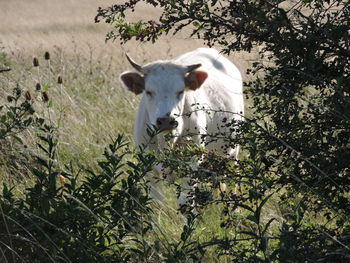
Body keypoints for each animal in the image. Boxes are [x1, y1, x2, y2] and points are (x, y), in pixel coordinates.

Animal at [119, 48, 243, 212]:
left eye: (180, 91)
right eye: (149, 92)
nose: (166, 121)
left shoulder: (192, 164)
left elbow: (185, 202)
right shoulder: (147, 166)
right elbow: (155, 203)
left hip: (233, 150)